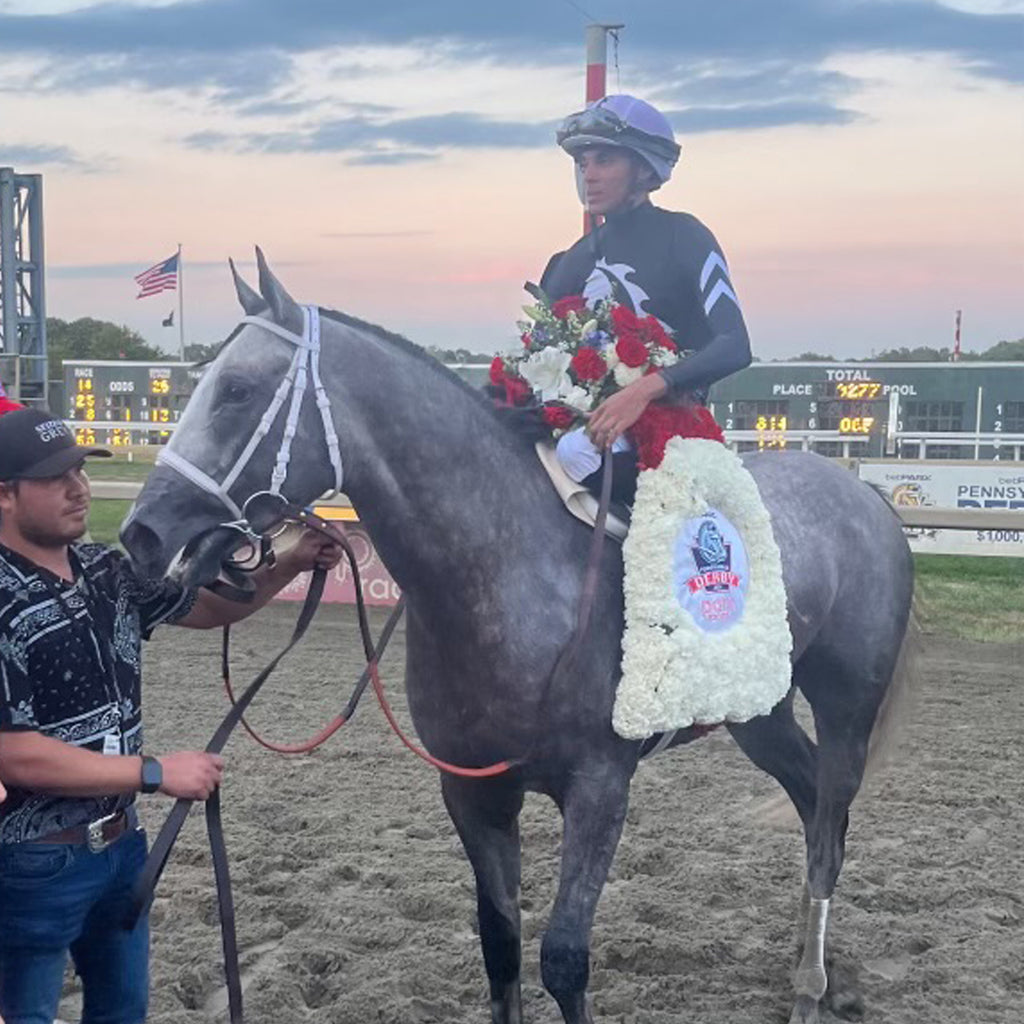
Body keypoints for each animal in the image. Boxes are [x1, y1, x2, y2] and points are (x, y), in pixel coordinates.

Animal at [119, 253, 913, 1024]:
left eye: (236, 391)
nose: (143, 533)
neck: (507, 571)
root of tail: (866, 495)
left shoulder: (599, 789)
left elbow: (562, 958)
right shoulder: (473, 793)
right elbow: (500, 945)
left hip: (846, 707)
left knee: (830, 825)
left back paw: (810, 988)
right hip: (758, 712)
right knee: (814, 809)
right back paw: (820, 971)